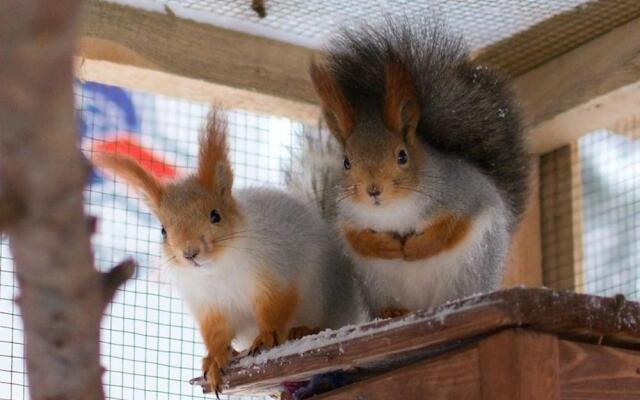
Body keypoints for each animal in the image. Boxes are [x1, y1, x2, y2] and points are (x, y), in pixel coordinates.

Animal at [94, 108, 364, 394]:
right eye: (163, 230)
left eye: (215, 215)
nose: (190, 253)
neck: (216, 270)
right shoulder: (208, 304)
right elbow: (215, 334)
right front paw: (214, 359)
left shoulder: (276, 272)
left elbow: (276, 308)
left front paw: (267, 336)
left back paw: (301, 331)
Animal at [300, 21, 528, 318]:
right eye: (346, 162)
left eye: (402, 156)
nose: (373, 190)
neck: (392, 210)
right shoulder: (346, 215)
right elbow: (355, 237)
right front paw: (383, 245)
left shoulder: (461, 194)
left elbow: (451, 227)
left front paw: (416, 247)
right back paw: (392, 312)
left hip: (469, 269)